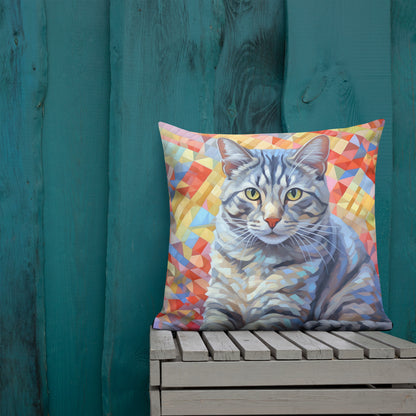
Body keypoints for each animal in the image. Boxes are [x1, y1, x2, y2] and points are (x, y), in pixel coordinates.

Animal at [201, 136, 390, 332]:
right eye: (252, 193)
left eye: (294, 194)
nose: (272, 220)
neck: (260, 258)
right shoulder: (219, 301)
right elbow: (214, 323)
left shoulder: (283, 309)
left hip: (355, 294)